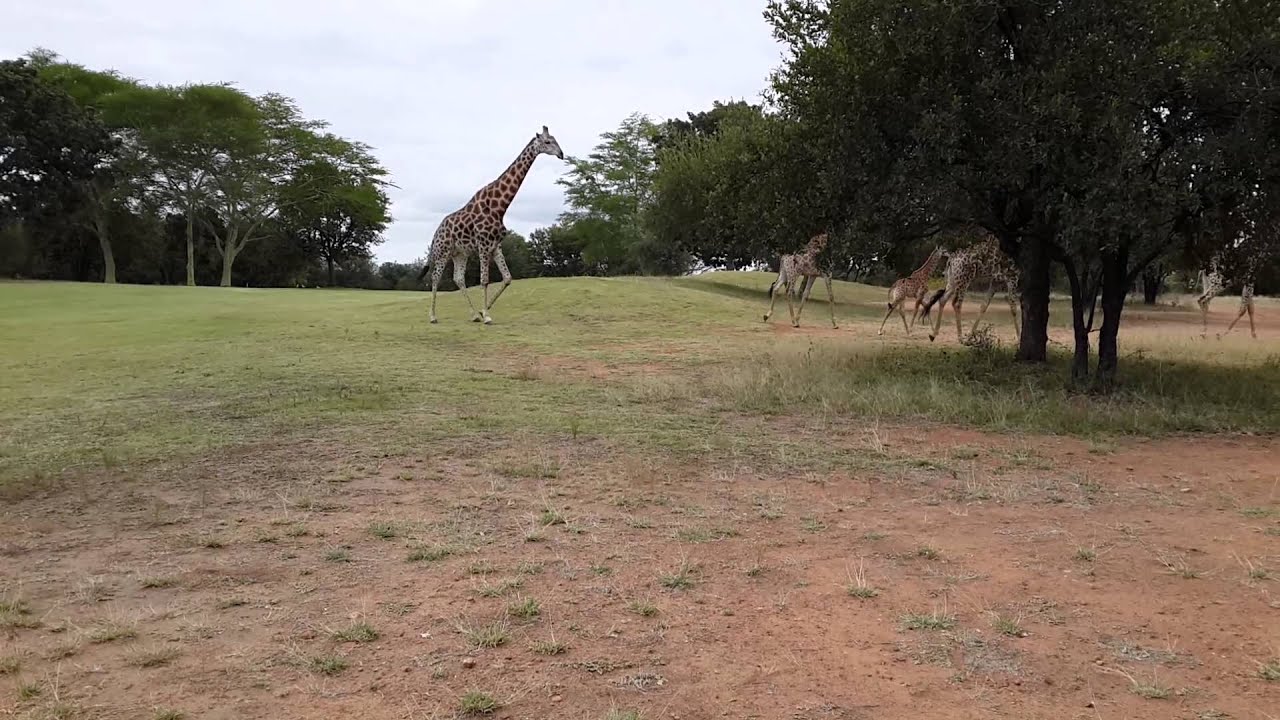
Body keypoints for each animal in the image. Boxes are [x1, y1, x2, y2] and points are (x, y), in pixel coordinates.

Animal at [416, 126, 565, 324]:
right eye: (548, 142)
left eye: (556, 140)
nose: (561, 154)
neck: (499, 207)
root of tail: (436, 232)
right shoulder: (484, 244)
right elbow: (484, 280)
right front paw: (486, 315)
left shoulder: (496, 245)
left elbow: (508, 278)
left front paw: (482, 311)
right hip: (443, 252)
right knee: (435, 278)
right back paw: (433, 316)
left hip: (460, 254)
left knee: (458, 278)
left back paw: (473, 315)